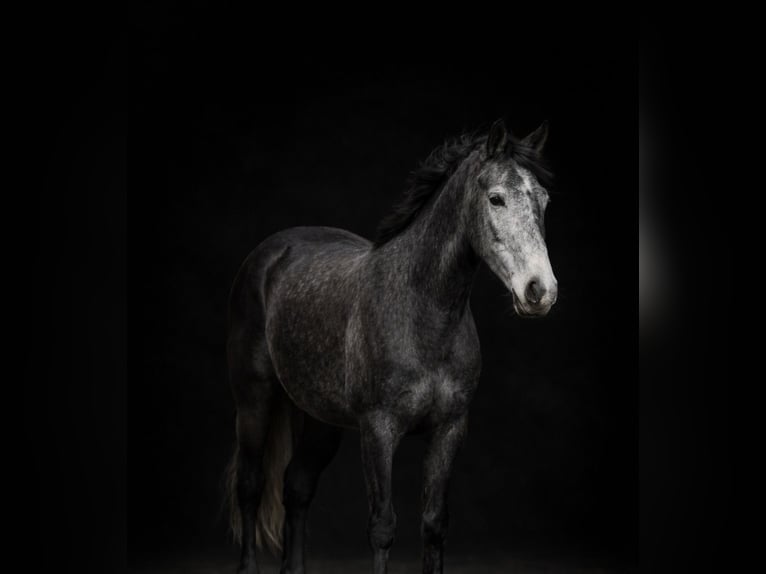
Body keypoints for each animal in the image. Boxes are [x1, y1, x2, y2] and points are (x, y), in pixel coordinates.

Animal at [225, 118, 558, 574]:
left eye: (543, 199)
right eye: (496, 198)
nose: (540, 291)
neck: (423, 313)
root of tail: (271, 252)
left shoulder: (449, 429)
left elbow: (433, 524)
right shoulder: (378, 430)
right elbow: (382, 526)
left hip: (319, 418)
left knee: (296, 487)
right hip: (254, 398)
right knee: (251, 485)